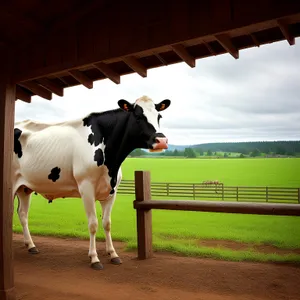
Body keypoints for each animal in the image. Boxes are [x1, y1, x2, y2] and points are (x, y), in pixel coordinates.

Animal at [12, 96, 171, 270]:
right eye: (138, 116)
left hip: (24, 188)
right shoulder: (86, 188)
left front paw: (113, 254)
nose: (161, 140)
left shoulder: (112, 191)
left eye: (159, 116)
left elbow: (107, 223)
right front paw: (94, 258)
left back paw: (31, 245)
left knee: (22, 214)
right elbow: (93, 224)